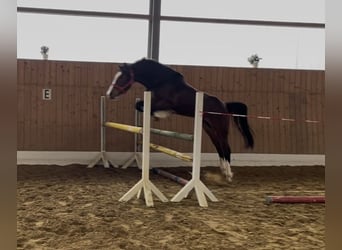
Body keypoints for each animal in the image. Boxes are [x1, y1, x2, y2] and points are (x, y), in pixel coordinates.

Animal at [107, 57, 254, 181]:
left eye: (122, 78)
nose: (109, 94)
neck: (161, 82)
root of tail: (224, 105)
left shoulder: (162, 103)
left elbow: (142, 106)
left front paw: (160, 115)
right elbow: (138, 105)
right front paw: (157, 116)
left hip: (221, 129)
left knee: (226, 148)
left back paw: (228, 175)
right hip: (209, 128)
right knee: (219, 147)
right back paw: (223, 171)